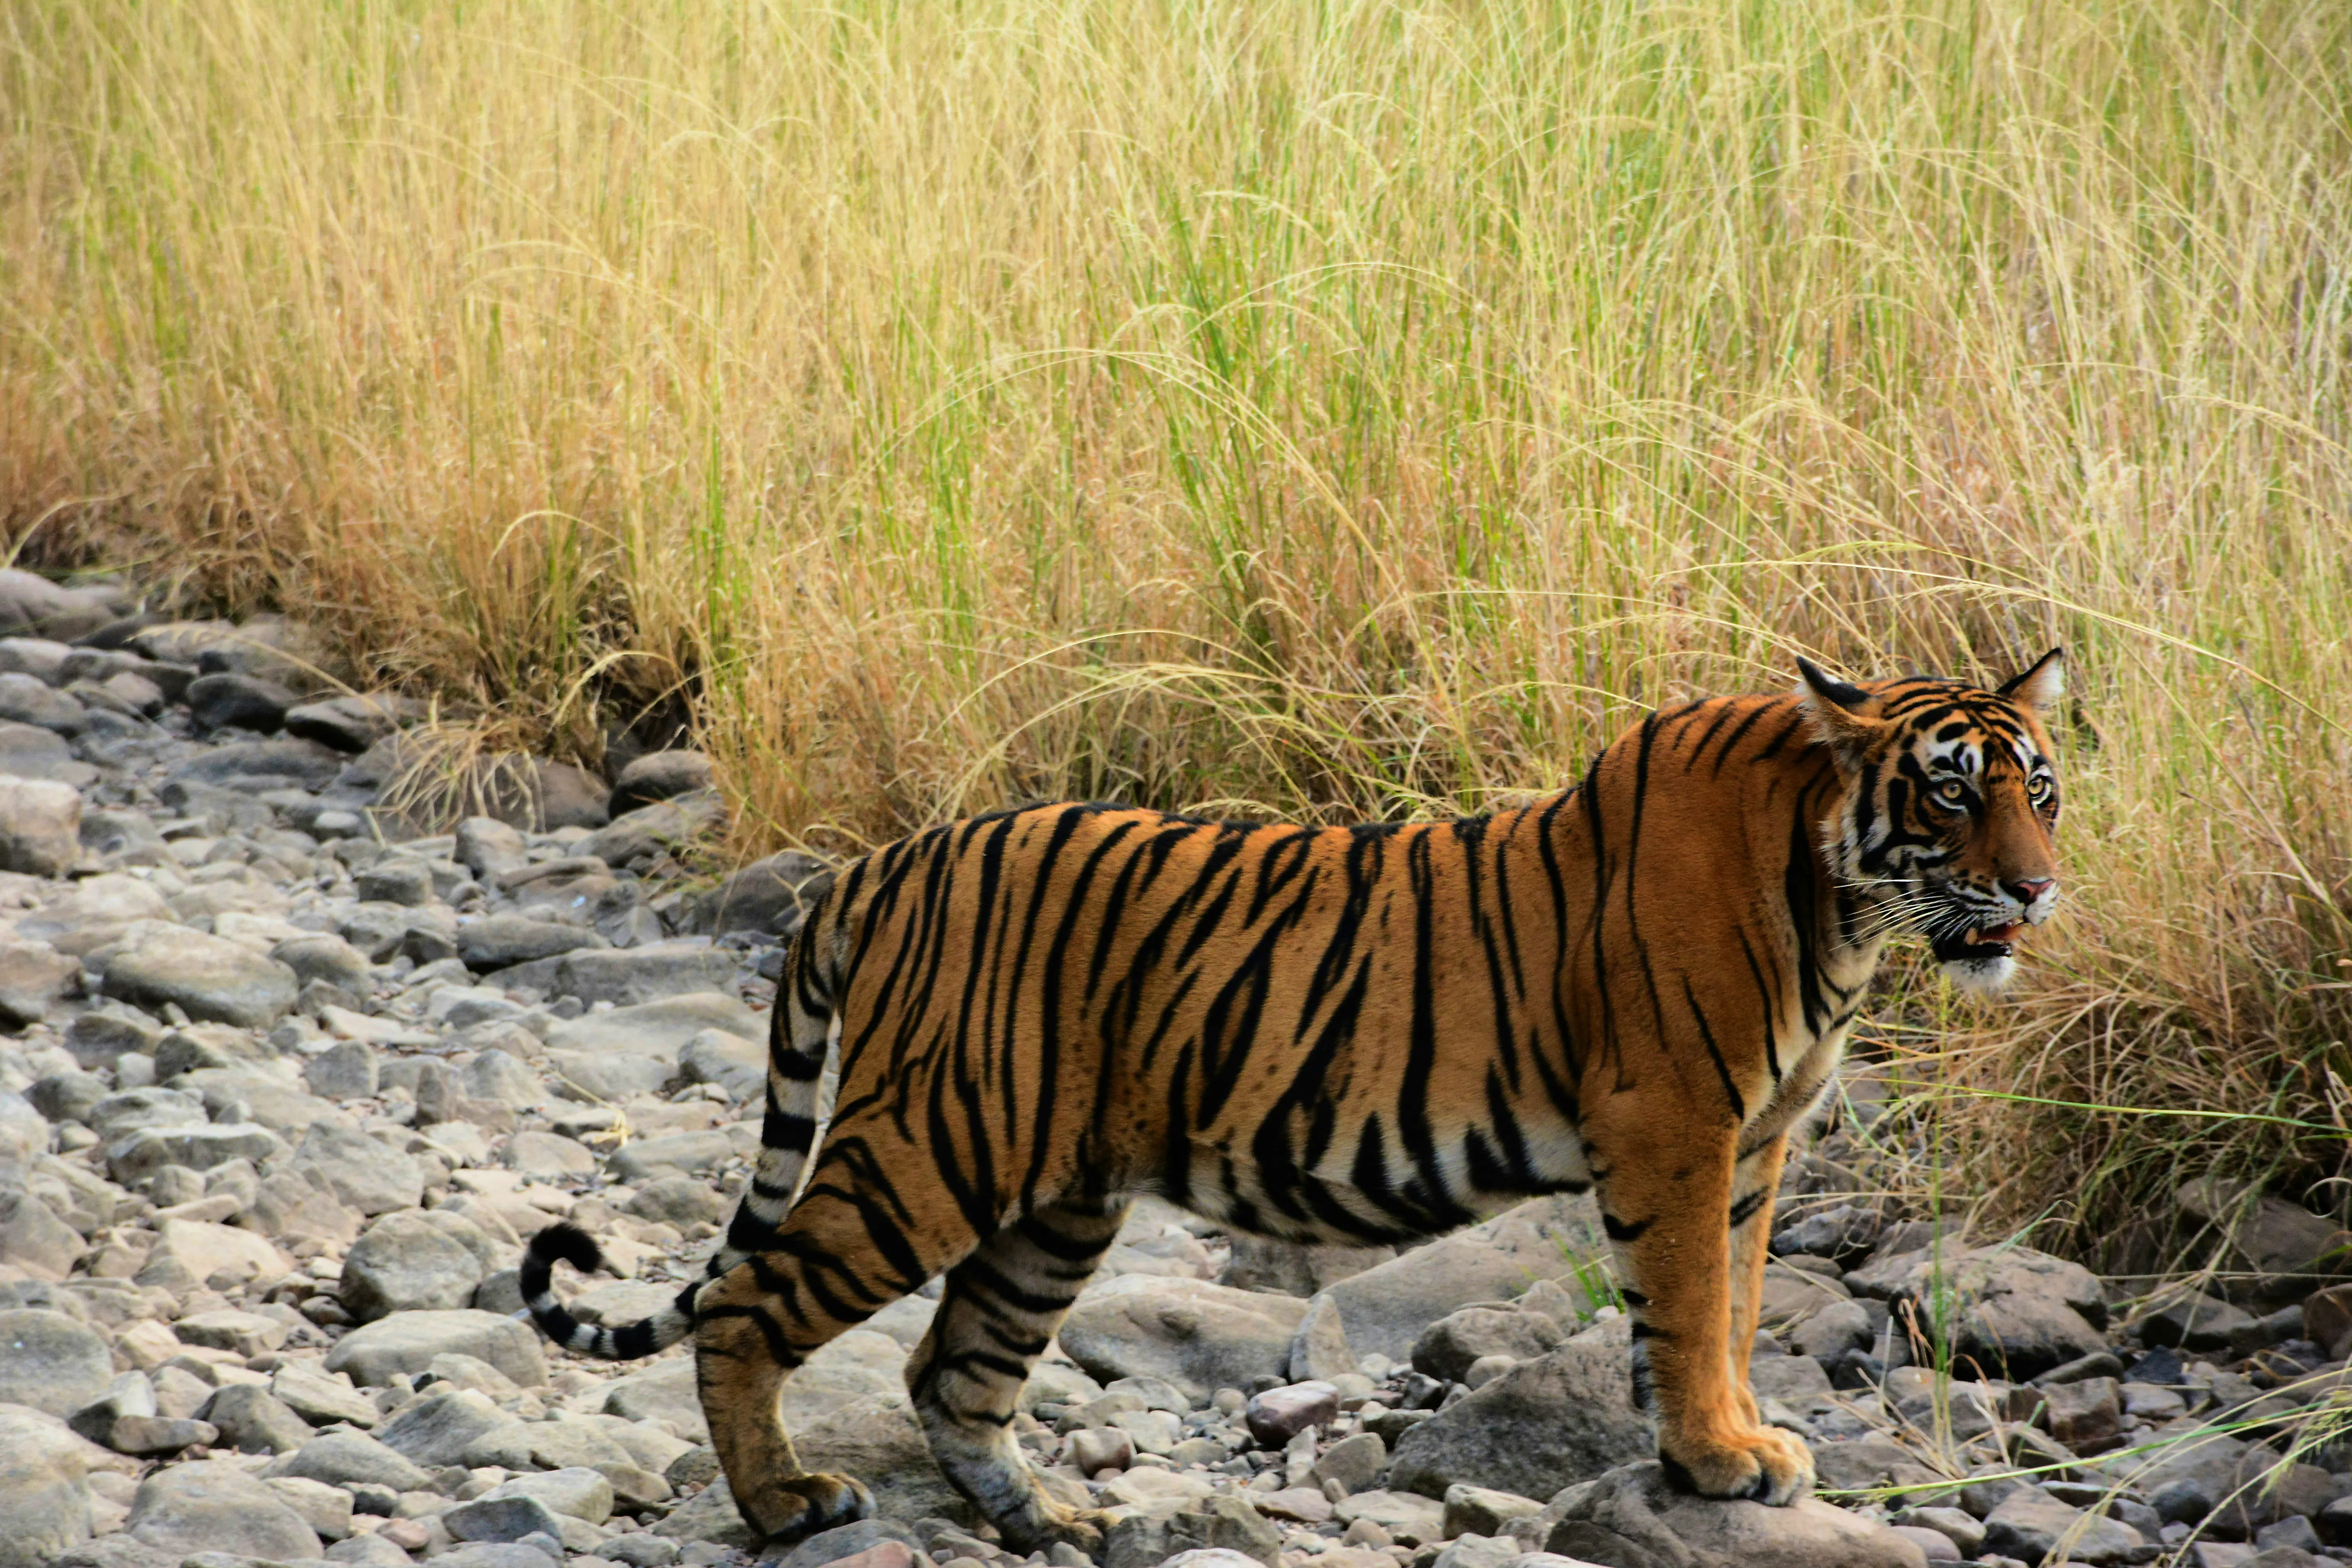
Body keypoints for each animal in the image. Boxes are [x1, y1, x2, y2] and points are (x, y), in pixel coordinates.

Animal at [521, 649, 2067, 1550]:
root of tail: (880, 863)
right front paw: (1714, 1460)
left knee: (952, 1370)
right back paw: (785, 1503)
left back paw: (1055, 1516)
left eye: (2038, 789)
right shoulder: (1676, 1126)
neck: (1839, 902)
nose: (2038, 887)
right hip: (930, 1145)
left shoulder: (1755, 1143)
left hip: (1052, 1204)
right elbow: (1688, 1308)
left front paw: (1744, 1439)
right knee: (745, 1303)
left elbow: (1738, 1304)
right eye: (1947, 794)